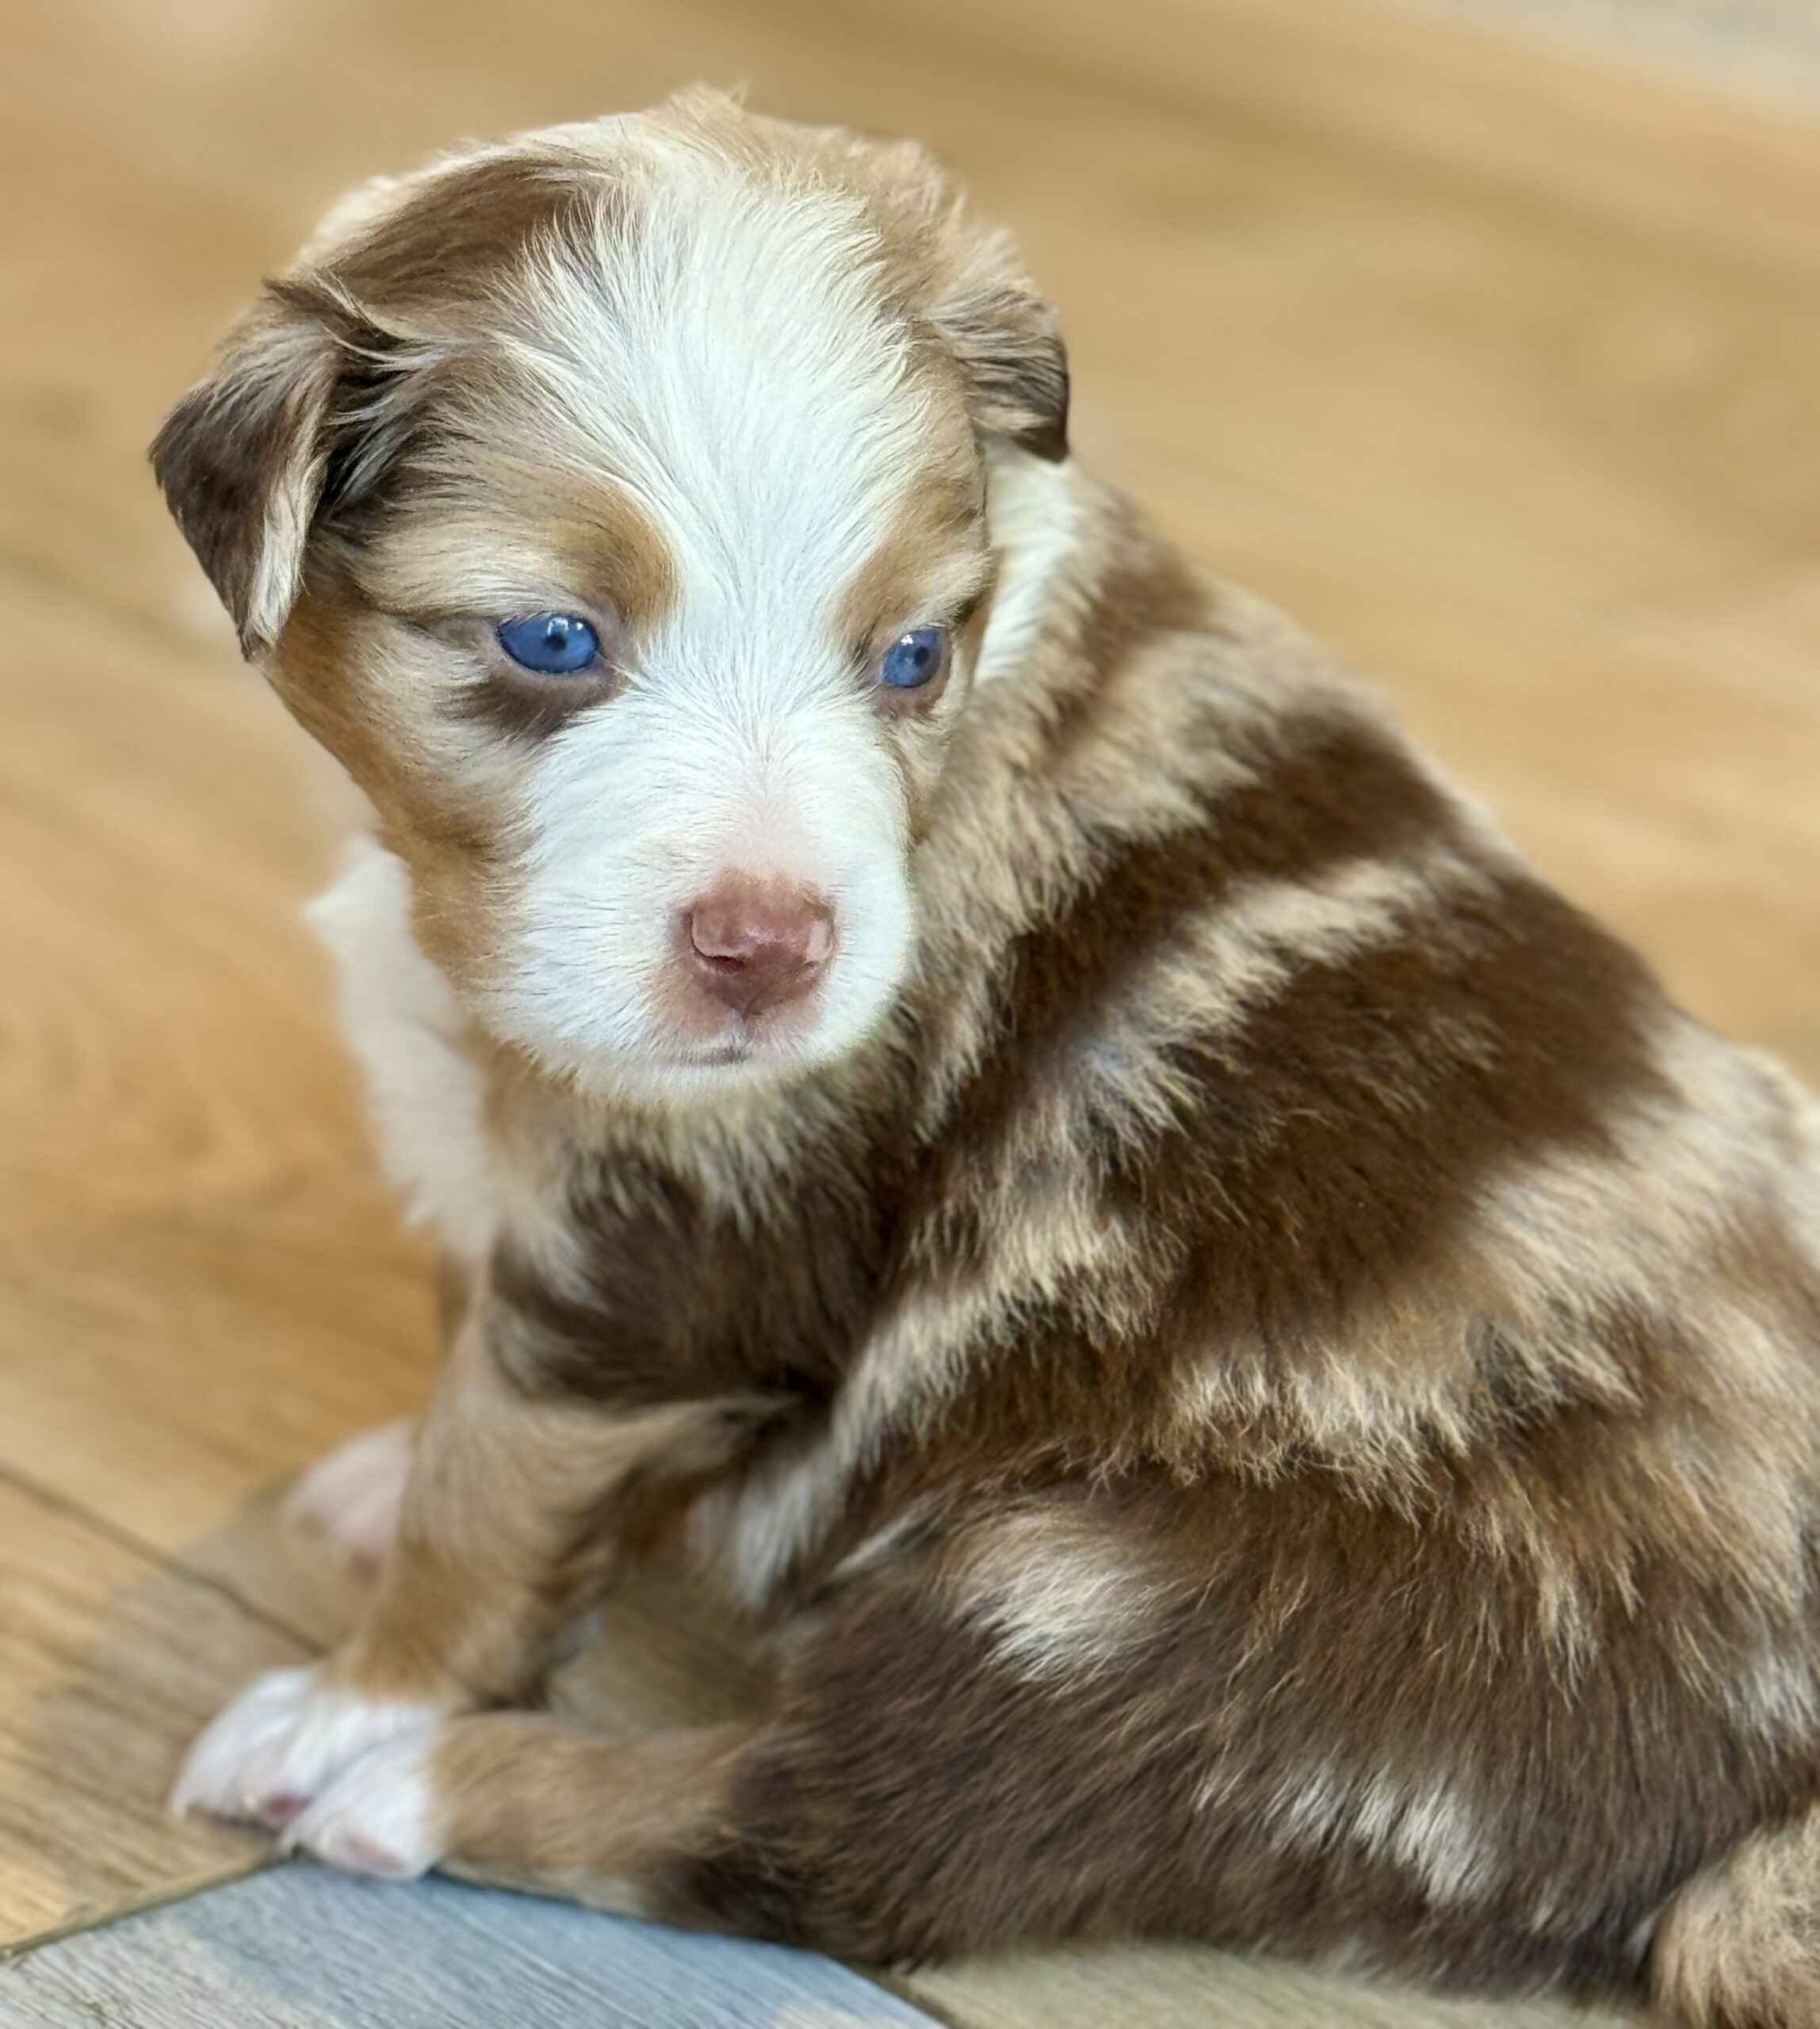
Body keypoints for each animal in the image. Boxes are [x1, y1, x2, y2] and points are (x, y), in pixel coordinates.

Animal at [151, 95, 1818, 2029]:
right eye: (552, 639)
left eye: (907, 655)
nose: (772, 947)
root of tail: (1756, 1809)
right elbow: (466, 1353)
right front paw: (386, 1472)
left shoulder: (685, 1236)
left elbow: (494, 1483)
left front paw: (359, 1696)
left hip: (1113, 1626)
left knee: (824, 1840)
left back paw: (416, 1789)